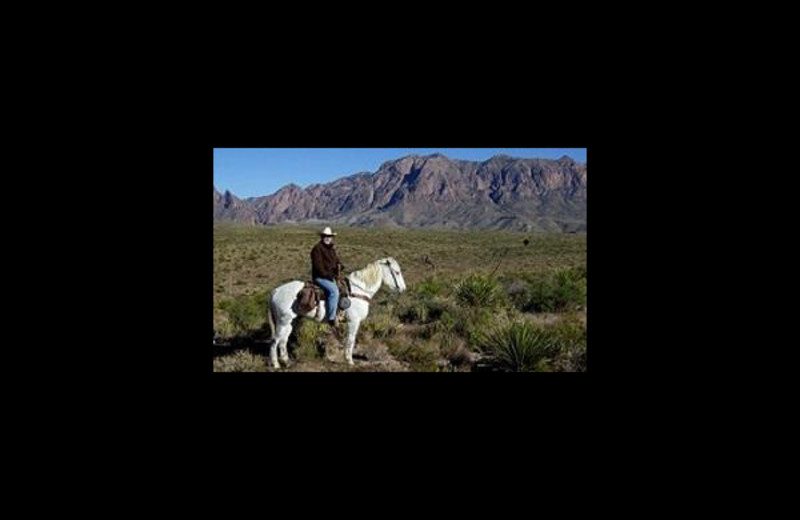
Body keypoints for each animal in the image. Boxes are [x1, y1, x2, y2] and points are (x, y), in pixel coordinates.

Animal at [268, 258, 406, 368]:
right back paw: (276, 364)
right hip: (283, 322)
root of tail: (276, 291)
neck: (359, 291)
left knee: (283, 341)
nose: (403, 289)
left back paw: (286, 362)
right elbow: (351, 340)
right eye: (397, 272)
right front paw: (349, 361)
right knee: (275, 341)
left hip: (290, 322)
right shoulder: (353, 322)